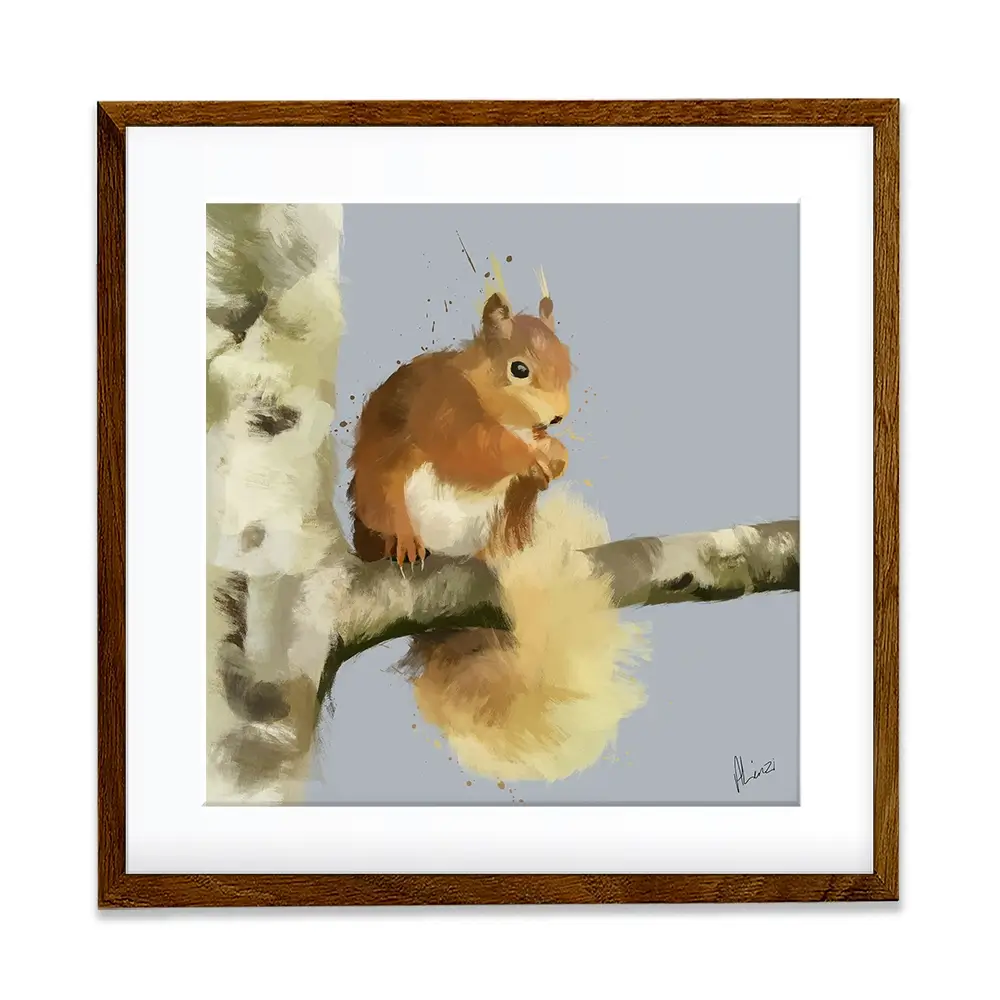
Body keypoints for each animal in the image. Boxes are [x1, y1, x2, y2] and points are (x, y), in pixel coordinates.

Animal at [347, 289, 647, 781]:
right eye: (518, 369)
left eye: (567, 359)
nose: (558, 418)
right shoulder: (443, 410)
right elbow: (474, 449)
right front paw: (529, 452)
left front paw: (555, 455)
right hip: (384, 503)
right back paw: (406, 543)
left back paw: (495, 552)